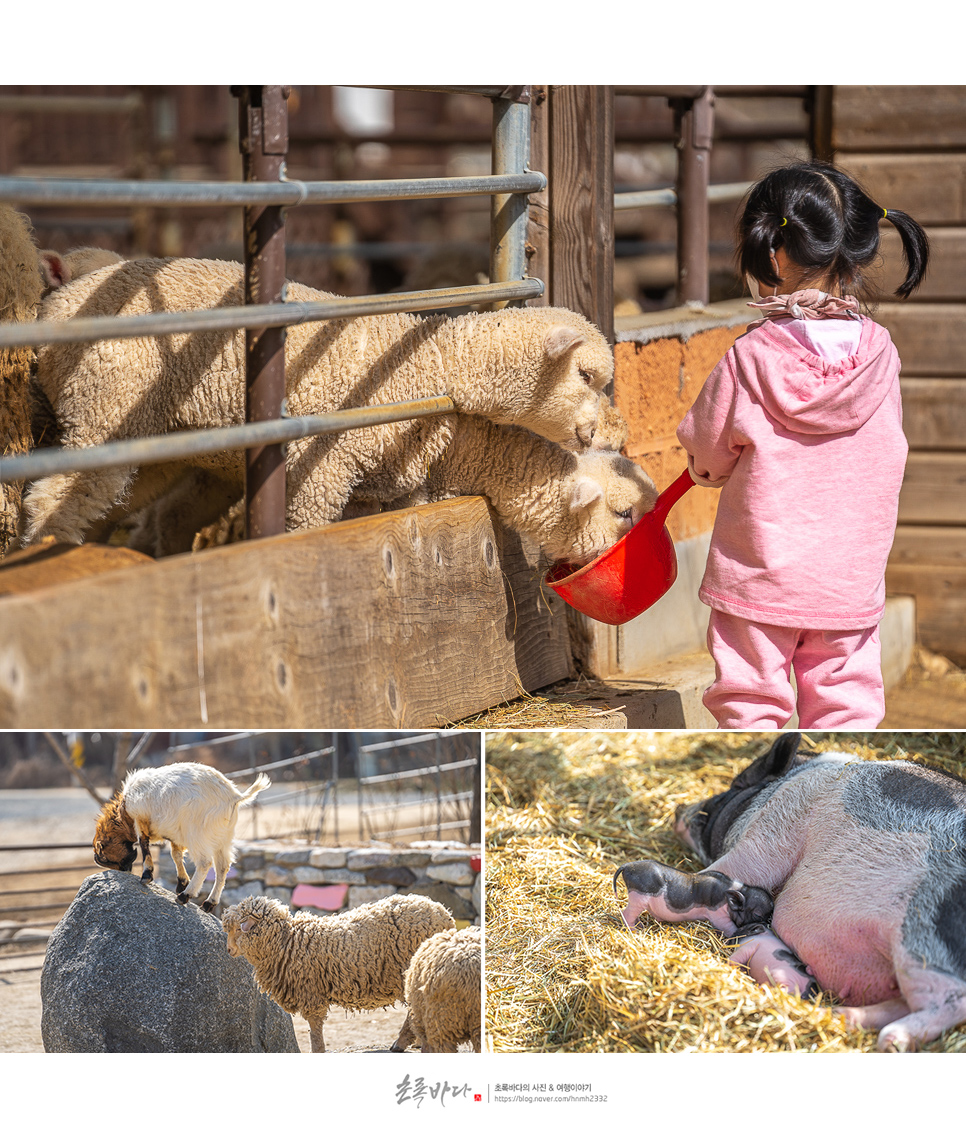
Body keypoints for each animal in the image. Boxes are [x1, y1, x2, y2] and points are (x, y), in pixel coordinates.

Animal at [22, 256, 614, 548]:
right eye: (586, 375)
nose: (593, 434)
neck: (431, 365)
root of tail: (55, 308)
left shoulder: (387, 488)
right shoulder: (319, 471)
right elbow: (307, 531)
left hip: (155, 439)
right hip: (104, 405)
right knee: (54, 497)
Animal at [91, 760, 269, 910]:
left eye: (105, 857)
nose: (125, 870)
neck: (124, 811)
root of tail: (234, 796)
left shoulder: (139, 818)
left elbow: (144, 844)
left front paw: (147, 875)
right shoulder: (175, 835)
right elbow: (175, 854)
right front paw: (182, 882)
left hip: (198, 833)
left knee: (205, 863)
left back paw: (185, 896)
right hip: (224, 837)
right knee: (223, 867)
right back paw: (208, 903)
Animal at [221, 892, 455, 1051]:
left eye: (238, 928)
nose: (229, 950)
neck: (288, 940)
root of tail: (445, 915)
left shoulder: (311, 993)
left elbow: (315, 1028)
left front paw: (318, 1050)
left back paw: (404, 1043)